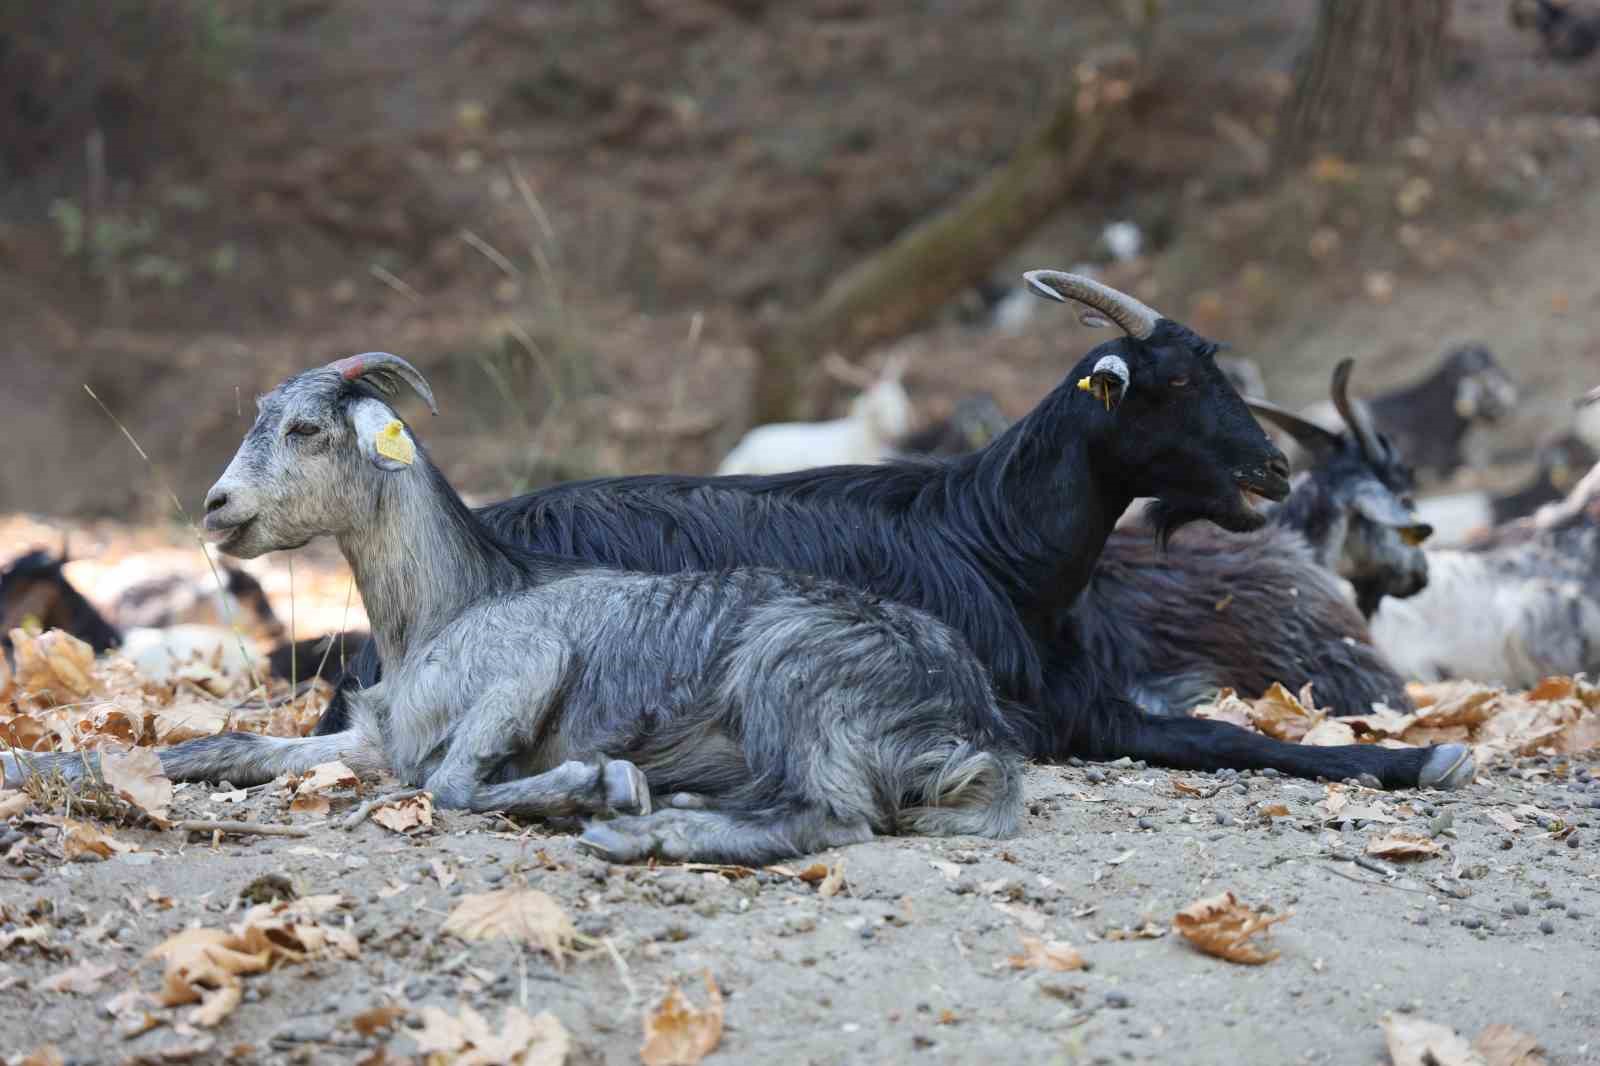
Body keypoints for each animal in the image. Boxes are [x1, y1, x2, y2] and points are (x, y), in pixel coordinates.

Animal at [312, 273, 1472, 787]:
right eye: (1175, 382)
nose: (1270, 470)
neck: (993, 545)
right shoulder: (1051, 717)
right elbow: (1235, 736)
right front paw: (1425, 759)